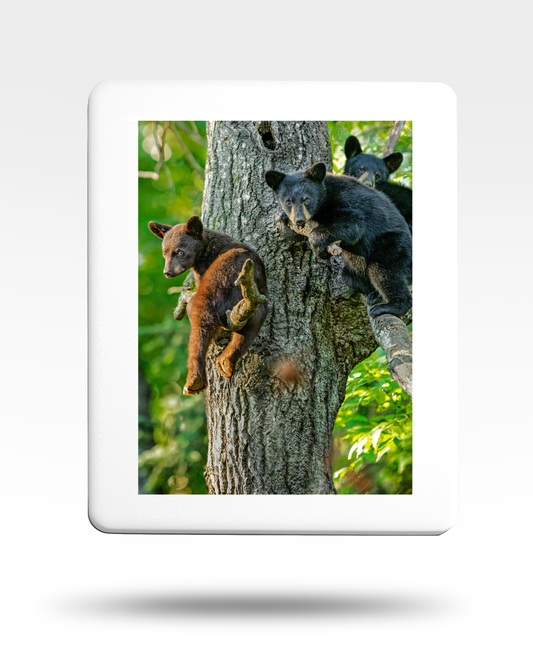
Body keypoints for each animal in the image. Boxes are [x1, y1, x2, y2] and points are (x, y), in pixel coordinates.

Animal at [148, 216, 268, 395]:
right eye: (165, 253)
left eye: (180, 251)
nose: (167, 272)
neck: (206, 250)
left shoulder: (203, 270)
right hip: (255, 301)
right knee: (254, 322)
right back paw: (226, 361)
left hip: (217, 282)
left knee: (199, 318)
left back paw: (195, 380)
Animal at [265, 163, 412, 318]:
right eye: (288, 201)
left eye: (307, 200)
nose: (299, 220)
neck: (324, 199)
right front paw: (283, 215)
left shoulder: (345, 199)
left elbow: (353, 224)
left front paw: (318, 248)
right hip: (354, 272)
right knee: (349, 276)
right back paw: (374, 294)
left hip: (394, 245)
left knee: (384, 270)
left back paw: (391, 305)